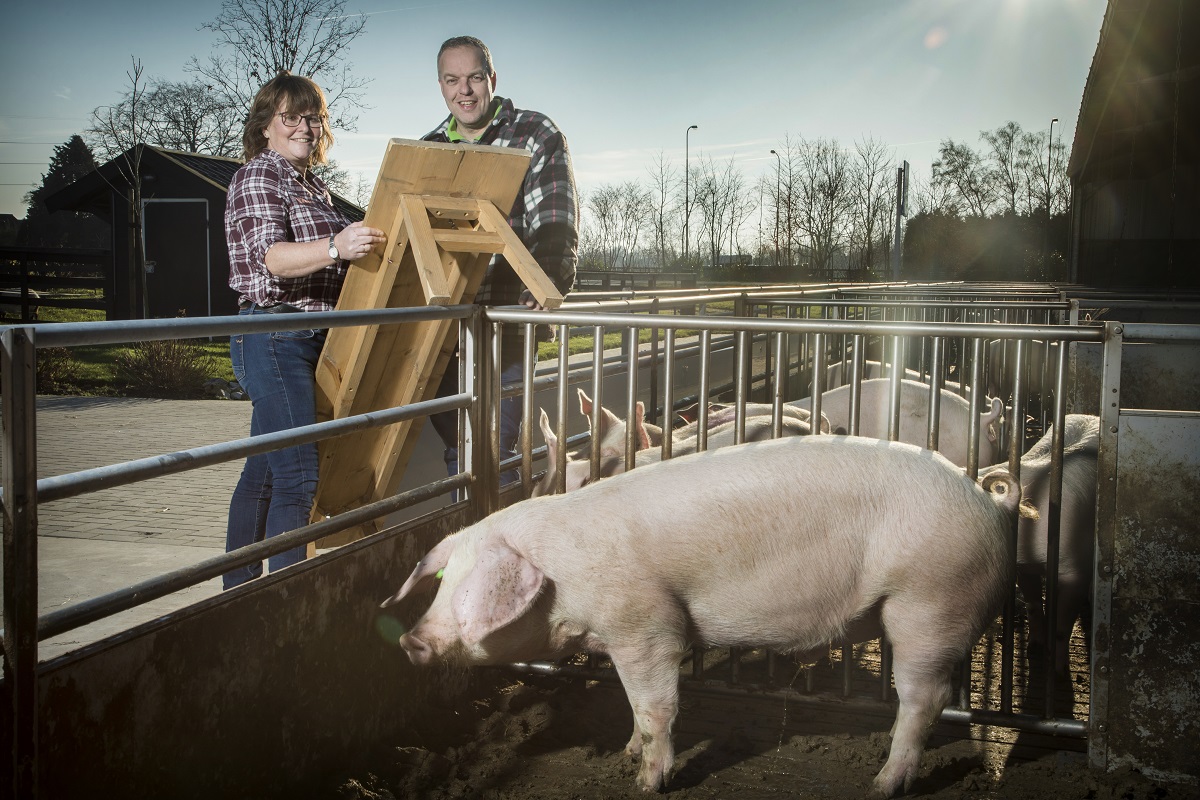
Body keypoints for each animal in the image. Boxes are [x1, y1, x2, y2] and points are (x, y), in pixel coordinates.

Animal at [384, 434, 1022, 796]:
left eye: (470, 586)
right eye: (440, 583)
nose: (410, 642)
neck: (566, 581)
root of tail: (989, 500)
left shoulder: (646, 625)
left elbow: (656, 705)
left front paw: (646, 783)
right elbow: (633, 706)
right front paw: (627, 753)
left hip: (931, 598)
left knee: (923, 697)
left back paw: (883, 785)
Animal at [984, 417, 1099, 671]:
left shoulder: (1076, 569)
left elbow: (1061, 628)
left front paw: (1058, 669)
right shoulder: (1025, 567)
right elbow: (1034, 605)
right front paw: (1034, 650)